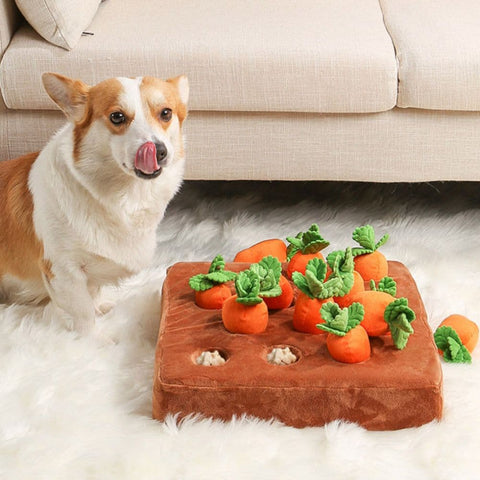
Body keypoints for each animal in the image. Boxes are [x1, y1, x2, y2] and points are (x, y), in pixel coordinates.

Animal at [0, 73, 189, 334]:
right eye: (117, 116)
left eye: (166, 113)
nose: (158, 151)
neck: (126, 196)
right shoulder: (62, 270)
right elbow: (83, 314)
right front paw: (90, 339)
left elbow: (94, 293)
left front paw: (101, 307)